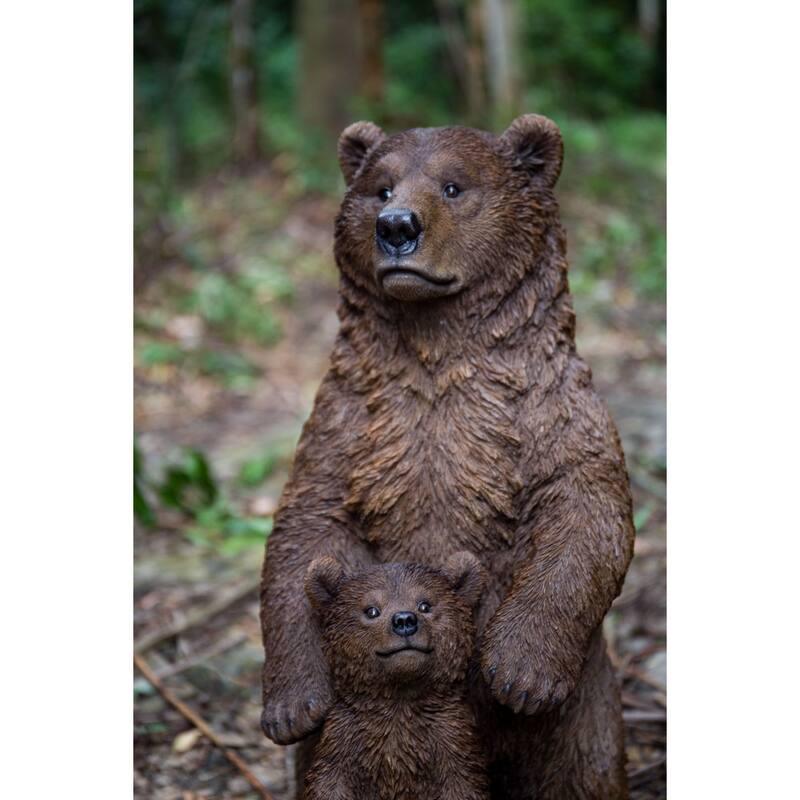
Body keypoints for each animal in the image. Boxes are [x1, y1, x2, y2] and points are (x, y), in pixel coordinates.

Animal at [302, 552, 490, 800]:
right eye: (372, 610)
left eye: (425, 605)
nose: (404, 620)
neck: (399, 697)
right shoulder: (344, 742)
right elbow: (329, 782)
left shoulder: (452, 743)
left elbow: (464, 784)